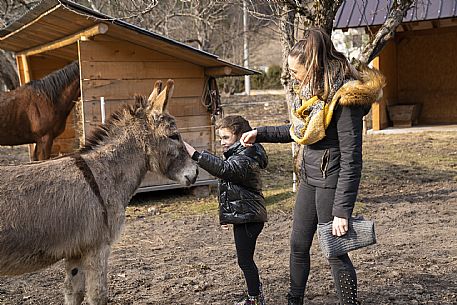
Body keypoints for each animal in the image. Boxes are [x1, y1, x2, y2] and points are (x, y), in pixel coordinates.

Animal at [0, 80, 198, 304]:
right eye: (174, 136)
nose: (195, 173)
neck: (102, 172)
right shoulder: (98, 247)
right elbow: (97, 294)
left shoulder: (76, 250)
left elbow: (73, 292)